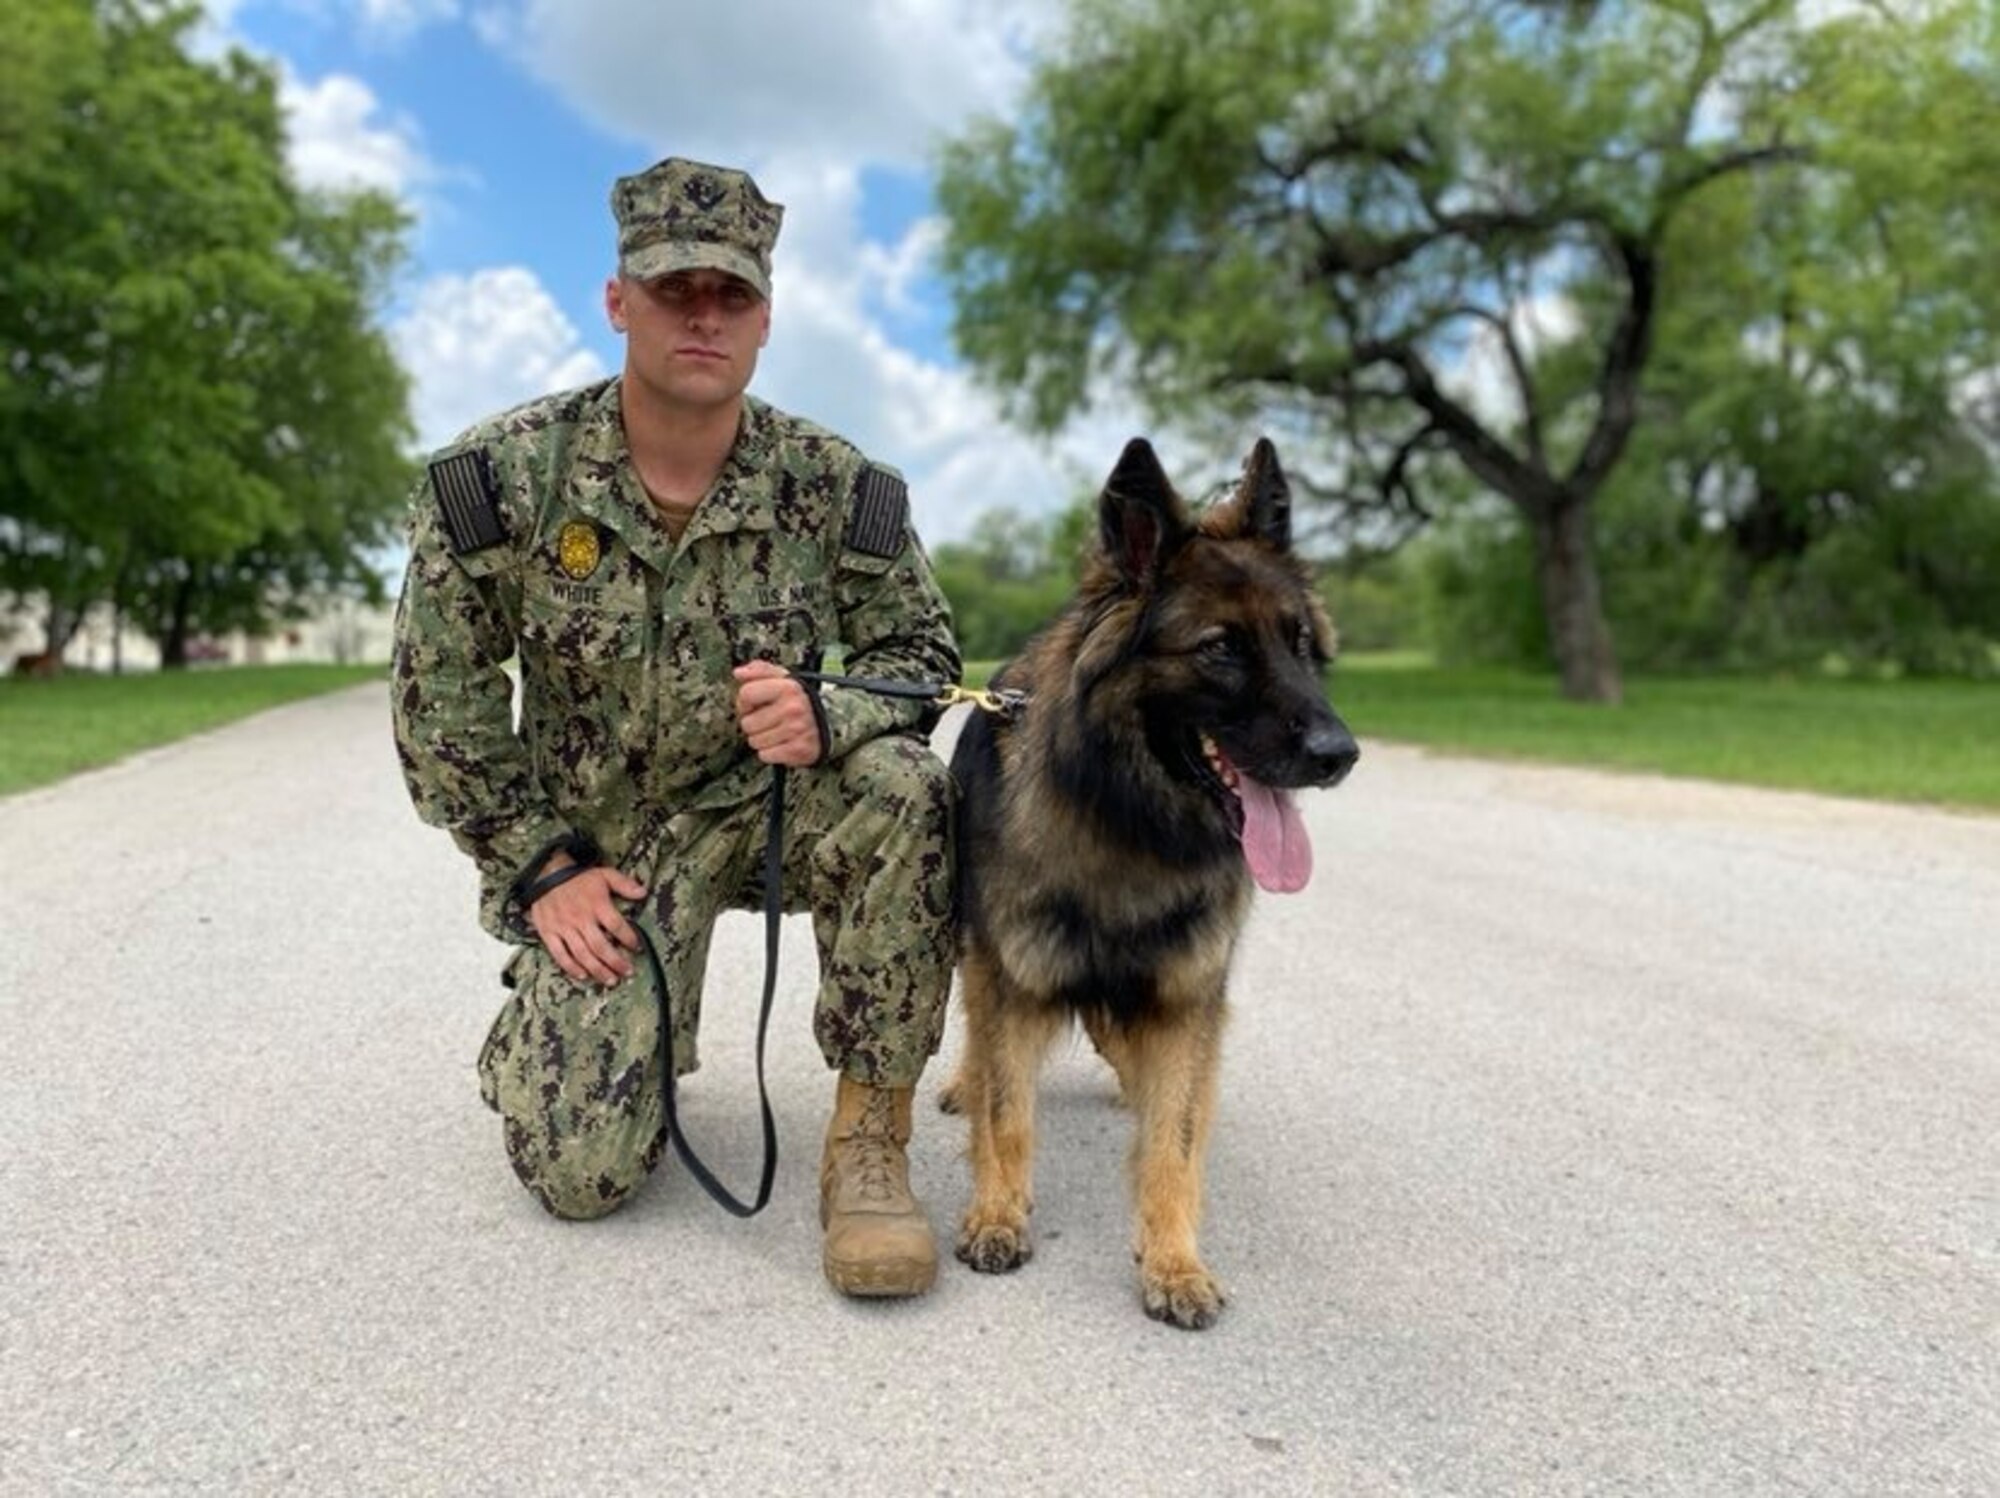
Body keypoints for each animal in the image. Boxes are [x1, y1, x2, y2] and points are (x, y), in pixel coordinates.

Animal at [940, 438, 1360, 1328]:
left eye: (1301, 645)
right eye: (1220, 648)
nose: (1340, 754)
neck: (1130, 824)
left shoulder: (1184, 1002)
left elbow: (1175, 1139)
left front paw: (1174, 1263)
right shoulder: (1013, 978)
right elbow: (1006, 1109)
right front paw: (997, 1214)